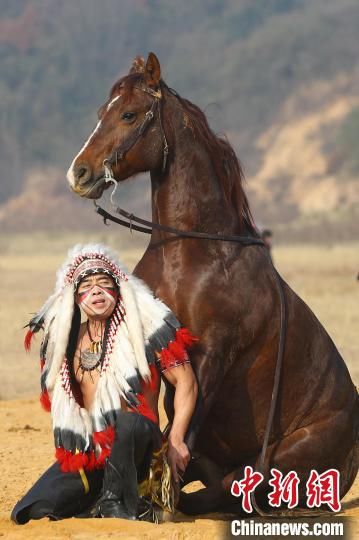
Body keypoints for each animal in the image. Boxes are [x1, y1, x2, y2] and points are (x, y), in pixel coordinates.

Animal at [66, 53, 358, 516]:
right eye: (101, 113)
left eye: (129, 114)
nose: (79, 173)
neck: (190, 254)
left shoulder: (213, 352)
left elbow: (180, 430)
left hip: (286, 456)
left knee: (235, 485)